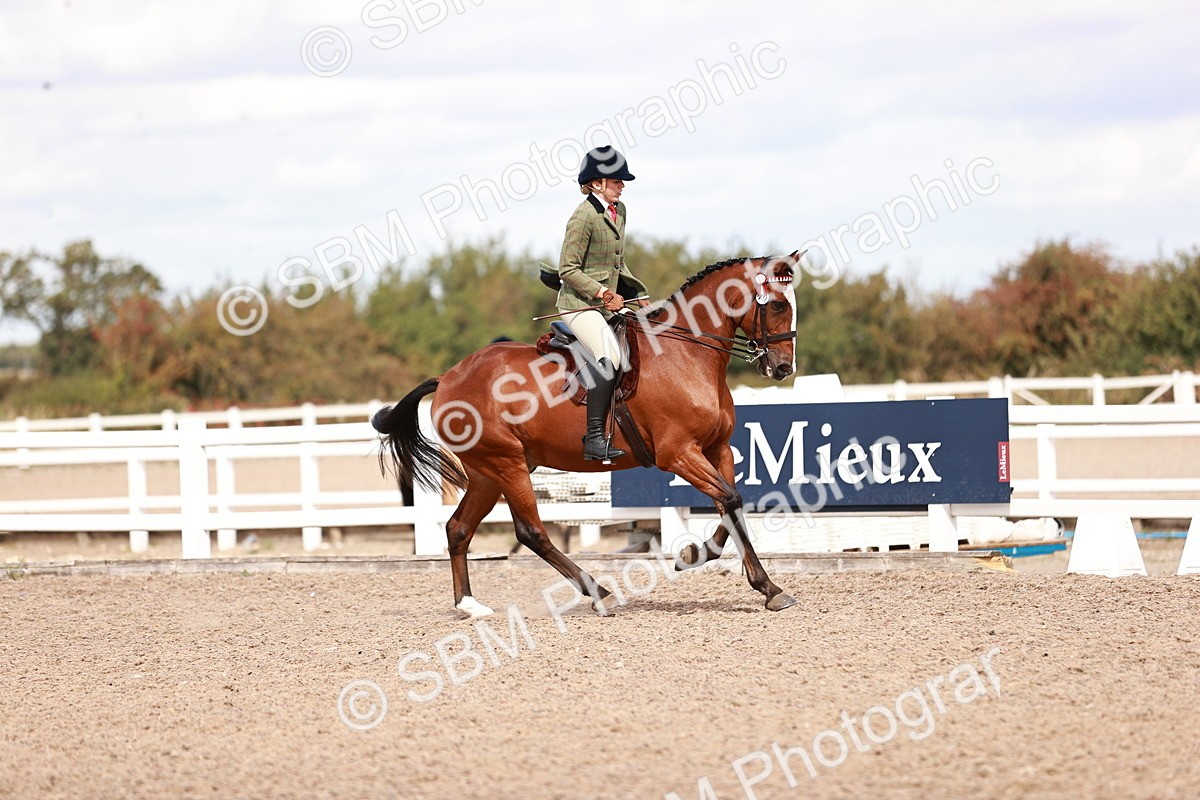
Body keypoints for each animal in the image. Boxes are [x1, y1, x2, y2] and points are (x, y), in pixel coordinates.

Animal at [372, 253, 804, 617]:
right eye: (777, 305)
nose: (783, 368)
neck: (686, 354)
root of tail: (448, 377)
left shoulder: (717, 449)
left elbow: (731, 505)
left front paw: (736, 572)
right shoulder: (678, 453)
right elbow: (729, 499)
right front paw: (742, 576)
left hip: (487, 473)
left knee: (458, 529)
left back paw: (468, 605)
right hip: (507, 464)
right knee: (532, 532)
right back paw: (600, 594)